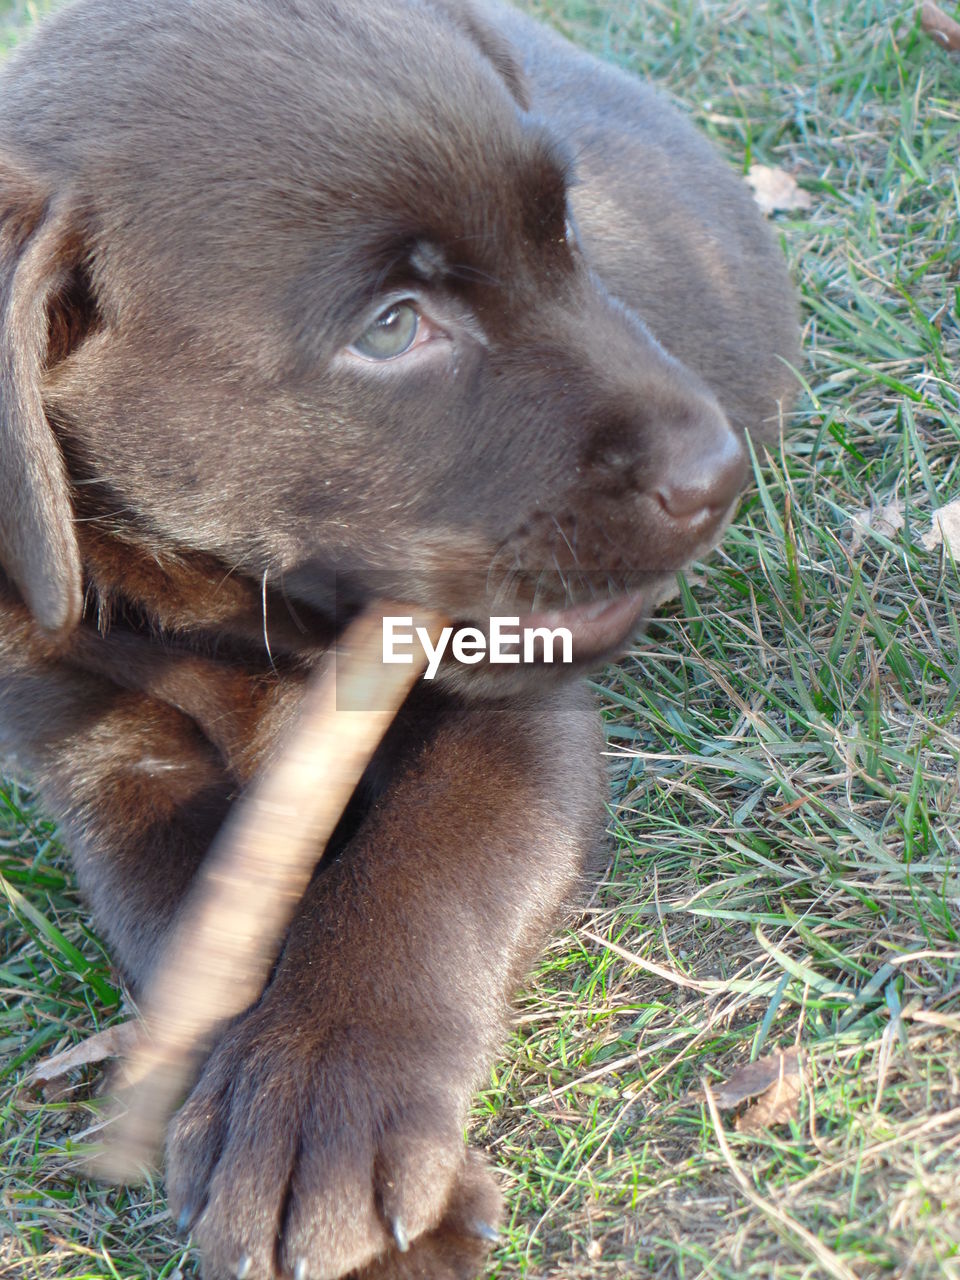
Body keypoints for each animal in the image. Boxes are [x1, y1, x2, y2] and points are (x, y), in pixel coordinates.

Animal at [0, 5, 798, 1274]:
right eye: (391, 329)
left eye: (565, 232)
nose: (716, 469)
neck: (240, 613)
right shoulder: (108, 763)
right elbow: (197, 927)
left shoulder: (512, 715)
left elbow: (418, 879)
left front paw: (324, 1106)